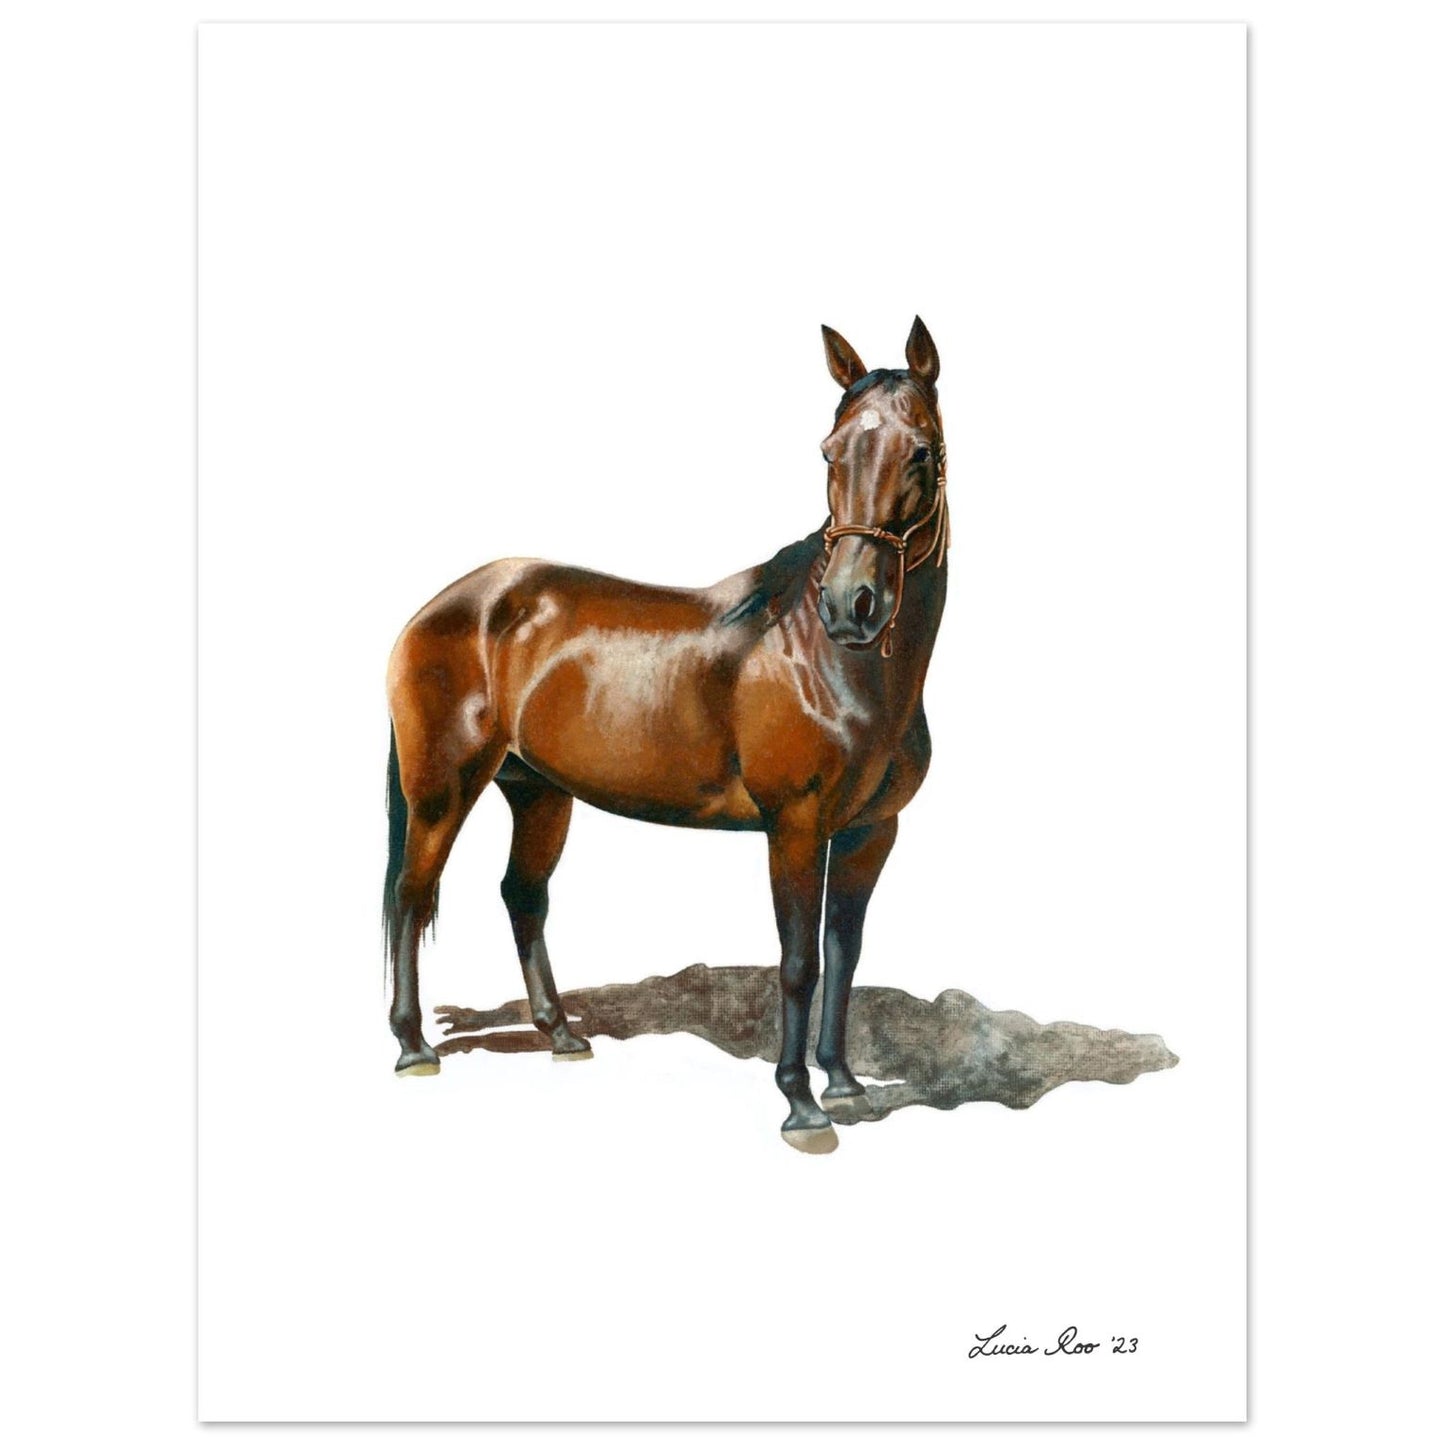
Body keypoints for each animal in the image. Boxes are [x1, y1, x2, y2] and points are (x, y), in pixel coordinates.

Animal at [383, 317, 951, 1153]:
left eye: (919, 451)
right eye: (829, 451)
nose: (852, 603)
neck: (827, 660)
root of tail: (446, 603)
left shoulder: (870, 832)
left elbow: (843, 954)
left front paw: (844, 1084)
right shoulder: (795, 826)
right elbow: (798, 961)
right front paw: (801, 1106)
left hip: (538, 791)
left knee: (522, 894)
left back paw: (561, 1034)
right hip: (440, 789)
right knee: (411, 892)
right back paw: (413, 1045)